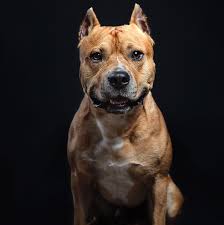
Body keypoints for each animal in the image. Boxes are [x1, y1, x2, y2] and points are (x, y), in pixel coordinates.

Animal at [68, 3, 184, 225]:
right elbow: (79, 216)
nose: (119, 78)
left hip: (172, 195)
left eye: (136, 54)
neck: (117, 125)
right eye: (96, 56)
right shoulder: (80, 179)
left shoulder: (158, 181)